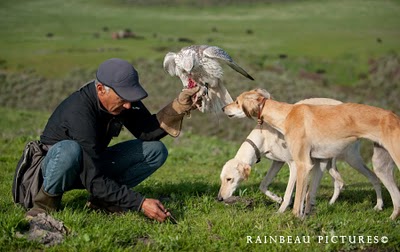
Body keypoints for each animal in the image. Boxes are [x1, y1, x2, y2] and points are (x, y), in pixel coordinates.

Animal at [223, 89, 400, 220]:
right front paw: (304, 216)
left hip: (354, 159)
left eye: (237, 101)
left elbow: (295, 198)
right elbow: (306, 194)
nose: (223, 108)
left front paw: (292, 218)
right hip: (379, 166)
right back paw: (388, 216)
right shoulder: (313, 163)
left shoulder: (301, 165)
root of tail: (394, 116)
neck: (287, 115)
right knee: (391, 191)